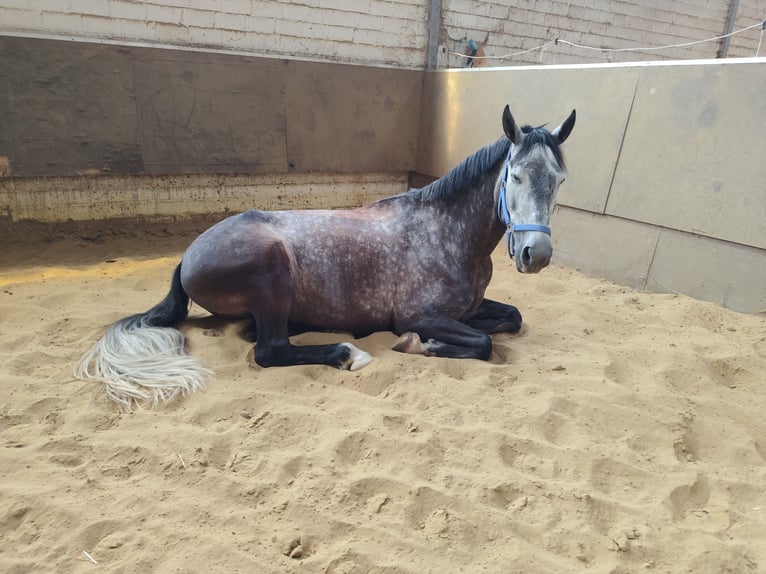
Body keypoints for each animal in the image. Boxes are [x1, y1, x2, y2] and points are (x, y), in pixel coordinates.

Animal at [76, 105, 576, 410]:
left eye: (559, 180)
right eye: (514, 176)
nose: (535, 255)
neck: (445, 232)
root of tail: (188, 255)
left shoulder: (471, 307)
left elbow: (510, 317)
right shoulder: (421, 314)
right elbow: (482, 343)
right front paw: (421, 345)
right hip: (272, 271)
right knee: (269, 349)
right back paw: (347, 353)